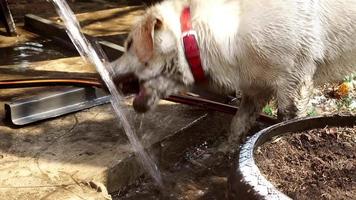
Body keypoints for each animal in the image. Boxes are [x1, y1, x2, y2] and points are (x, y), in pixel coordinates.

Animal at [112, 0, 356, 146]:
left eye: (129, 44)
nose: (108, 72)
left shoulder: (294, 82)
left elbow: (283, 125)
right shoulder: (255, 88)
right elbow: (237, 125)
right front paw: (227, 152)